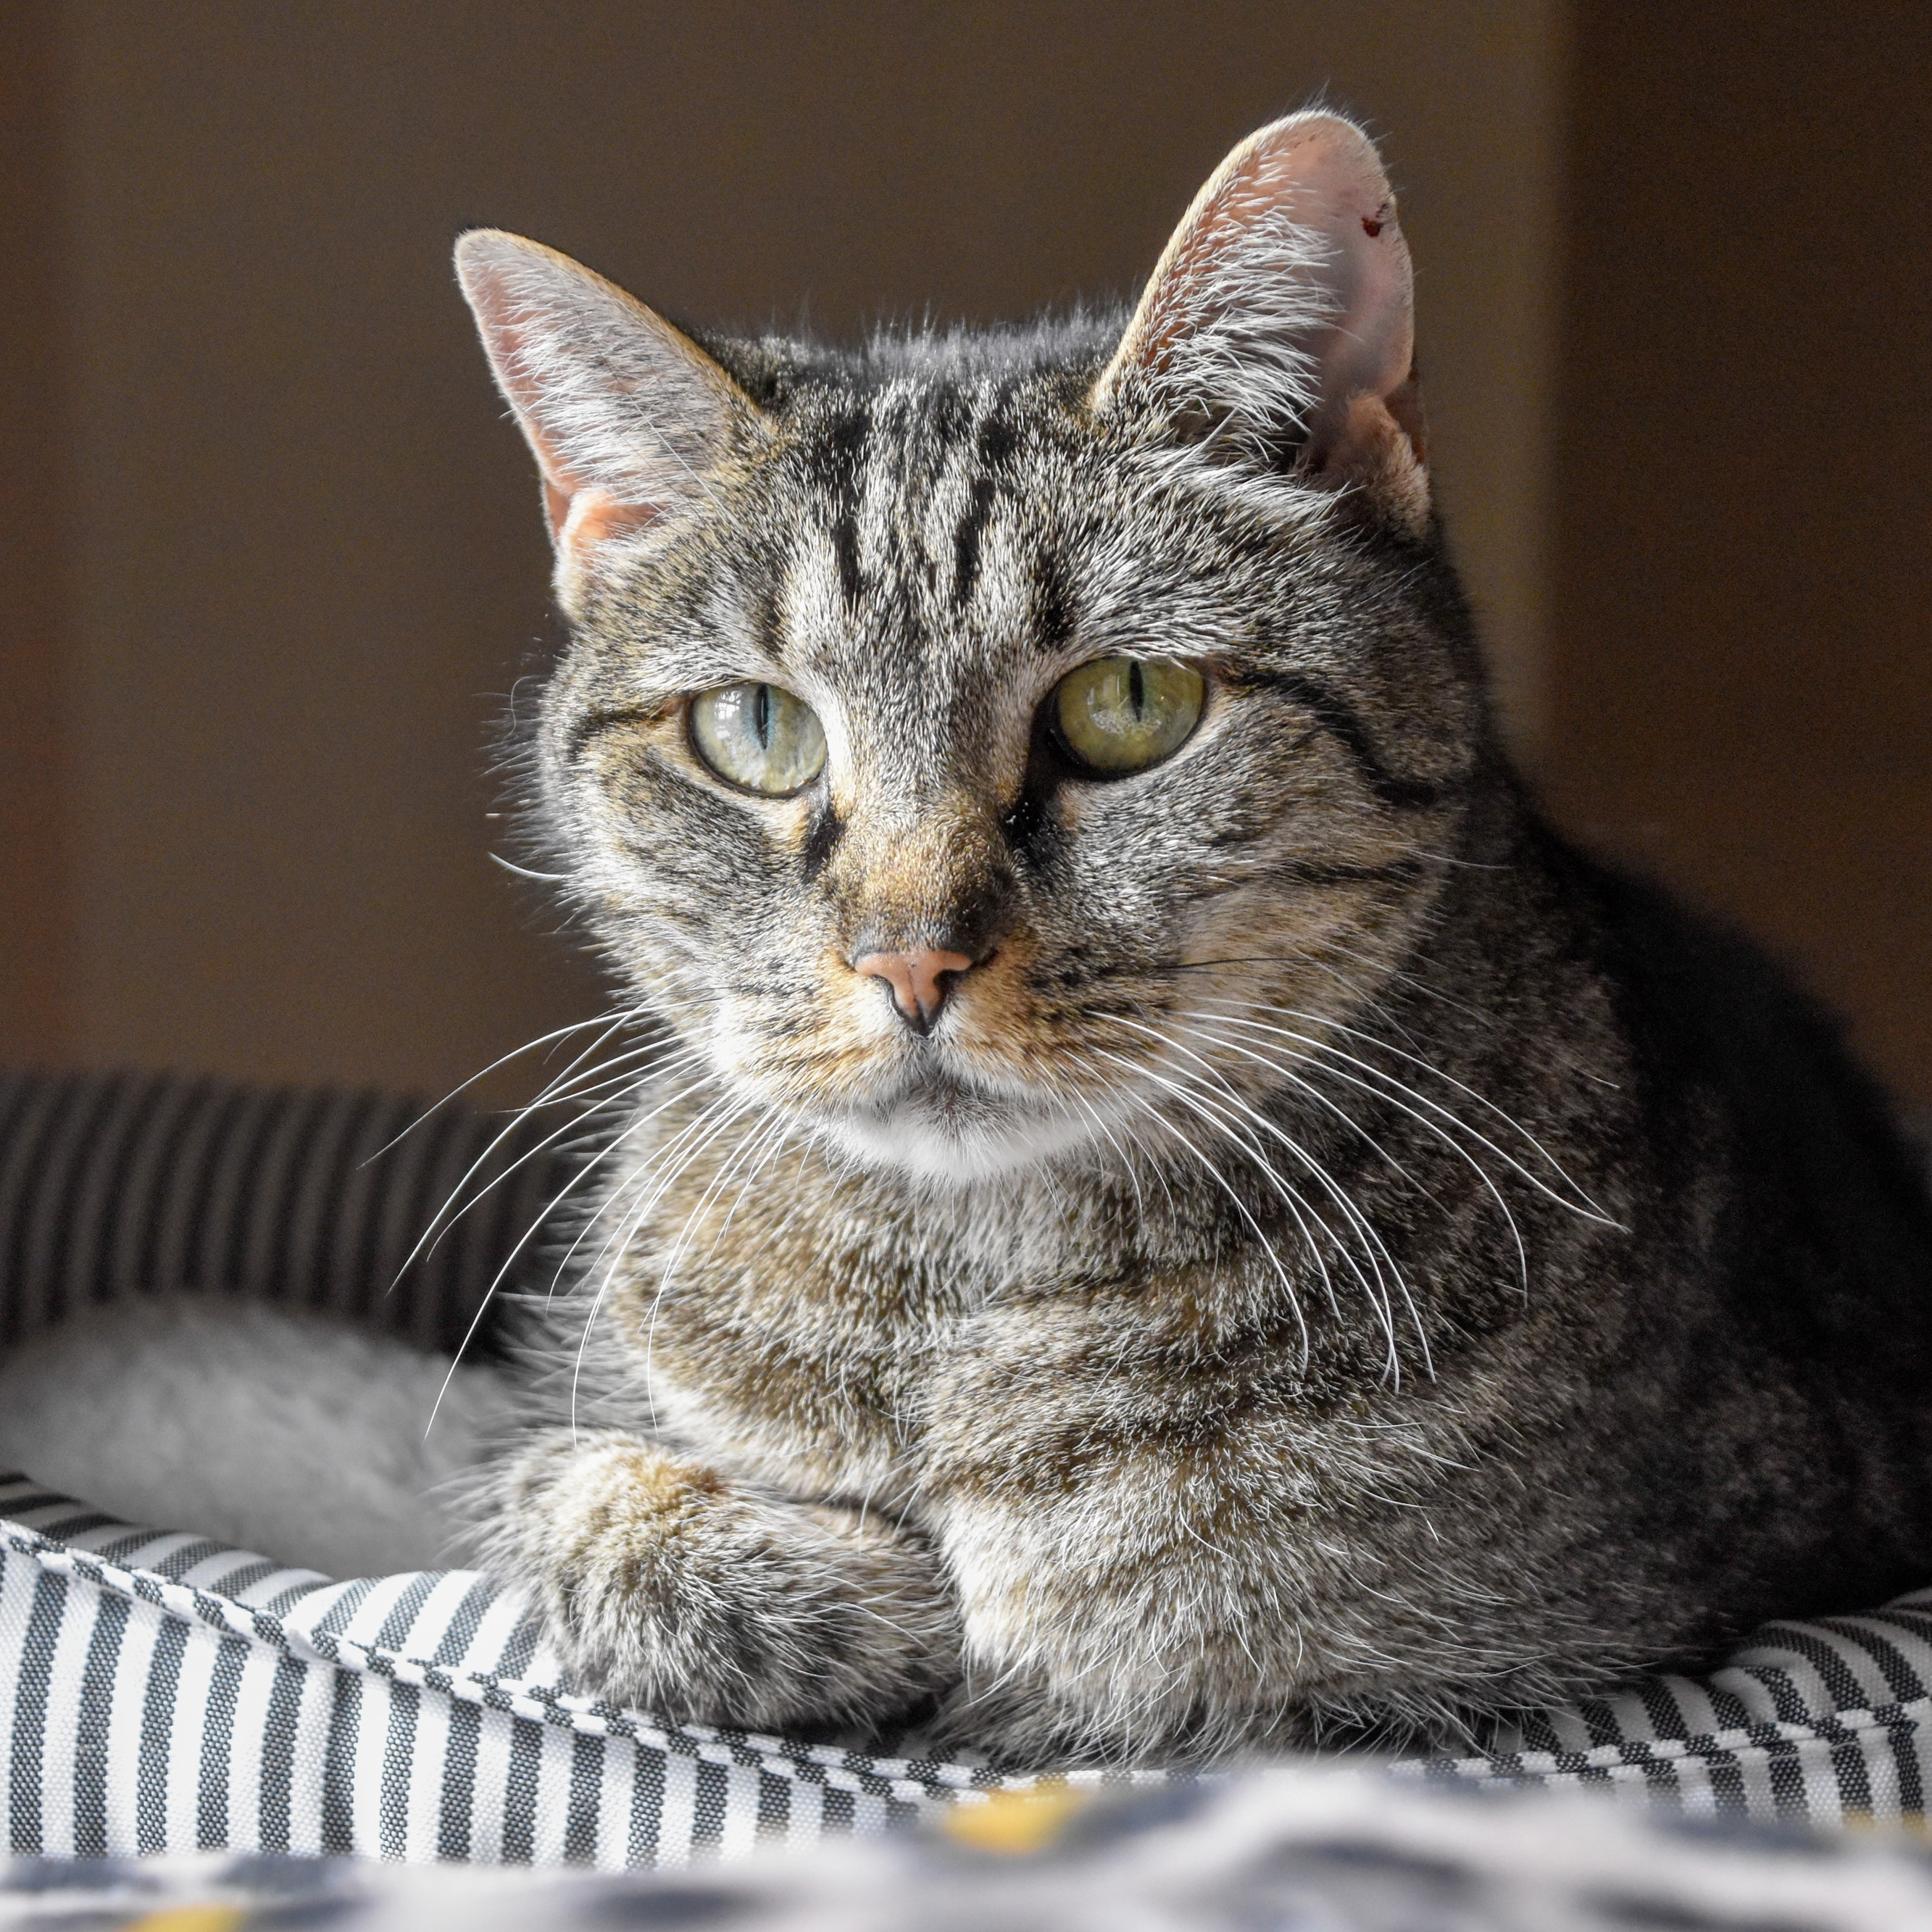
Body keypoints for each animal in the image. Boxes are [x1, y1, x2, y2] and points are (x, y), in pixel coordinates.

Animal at [451, 109, 1932, 1770]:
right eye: (756, 729)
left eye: (1129, 705)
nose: (909, 958)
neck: (961, 1315)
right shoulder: (549, 1412)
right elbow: (562, 1489)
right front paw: (810, 1585)